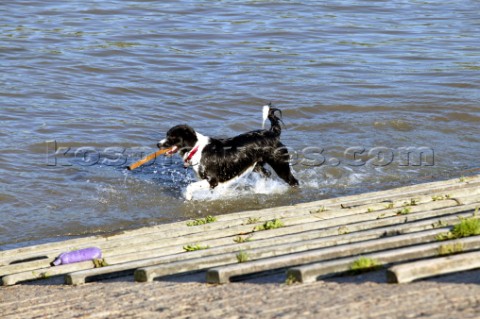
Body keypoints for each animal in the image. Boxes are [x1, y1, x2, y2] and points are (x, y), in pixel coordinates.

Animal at [159, 105, 298, 200]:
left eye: (172, 137)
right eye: (167, 135)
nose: (158, 144)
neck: (196, 148)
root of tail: (273, 133)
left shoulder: (213, 180)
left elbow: (190, 186)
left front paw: (188, 198)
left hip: (280, 164)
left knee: (293, 181)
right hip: (256, 165)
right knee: (267, 174)